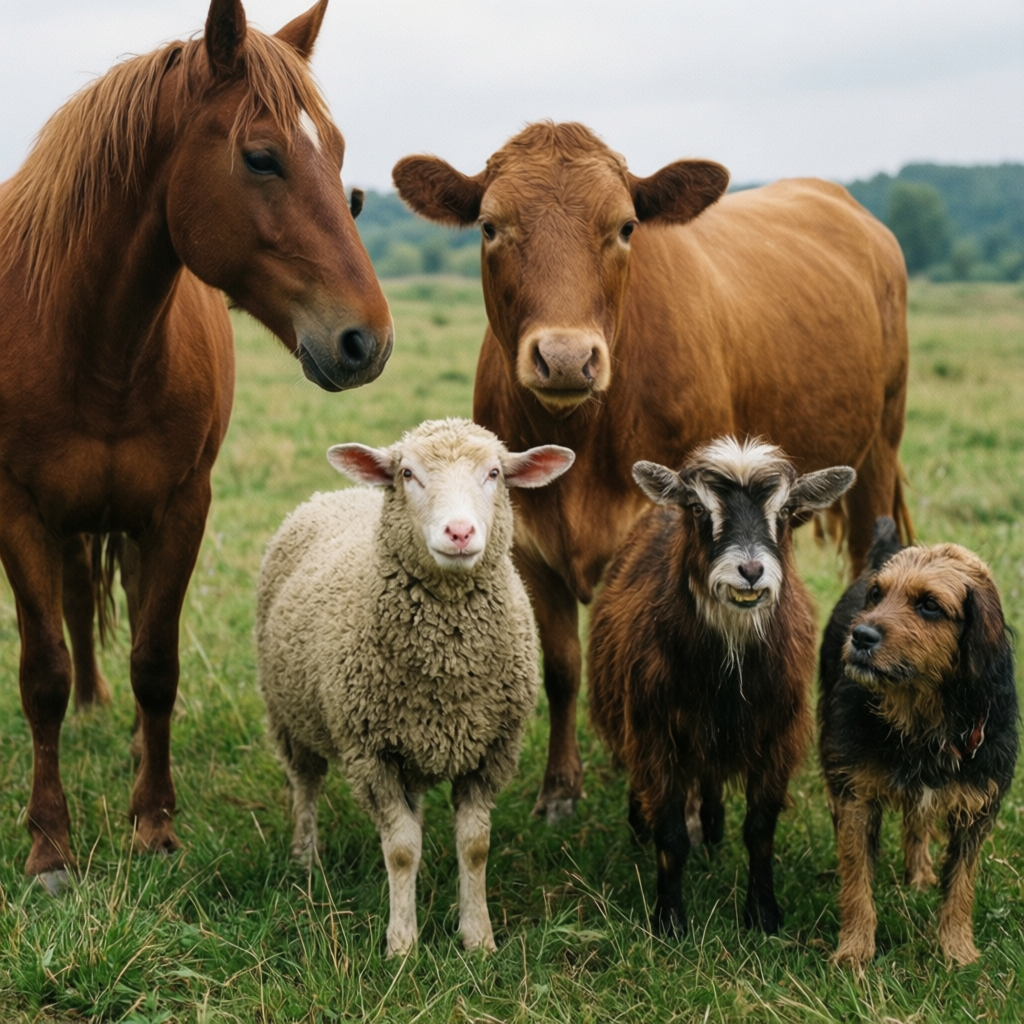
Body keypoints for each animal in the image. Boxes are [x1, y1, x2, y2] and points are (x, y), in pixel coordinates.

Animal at [0, 0, 393, 889]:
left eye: (339, 155)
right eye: (261, 157)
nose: (367, 342)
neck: (92, 344)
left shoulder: (181, 508)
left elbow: (156, 663)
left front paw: (153, 826)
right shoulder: (18, 510)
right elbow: (42, 674)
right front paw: (50, 847)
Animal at [392, 121, 911, 821]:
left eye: (625, 227)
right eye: (490, 226)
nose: (565, 357)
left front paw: (682, 800)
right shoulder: (528, 540)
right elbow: (565, 665)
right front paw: (562, 787)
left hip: (880, 446)